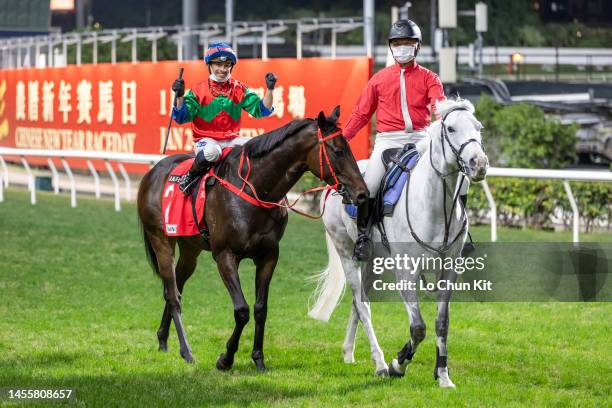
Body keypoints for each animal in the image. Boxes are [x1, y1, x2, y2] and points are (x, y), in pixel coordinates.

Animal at [137, 107, 368, 372]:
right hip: (161, 240)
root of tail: (153, 171)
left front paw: (258, 358)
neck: (254, 190)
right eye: (338, 151)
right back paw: (186, 351)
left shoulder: (268, 256)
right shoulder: (225, 256)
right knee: (173, 295)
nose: (362, 193)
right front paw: (225, 358)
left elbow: (260, 309)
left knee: (176, 286)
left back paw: (163, 339)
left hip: (189, 248)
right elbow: (242, 310)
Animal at [308, 97, 490, 388]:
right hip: (346, 252)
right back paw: (381, 363)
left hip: (373, 261)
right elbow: (418, 327)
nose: (479, 163)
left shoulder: (449, 270)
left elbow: (441, 323)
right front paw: (398, 364)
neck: (435, 205)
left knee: (358, 303)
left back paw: (349, 352)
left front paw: (443, 376)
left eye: (478, 127)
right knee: (362, 305)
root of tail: (330, 188)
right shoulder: (406, 272)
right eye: (451, 129)